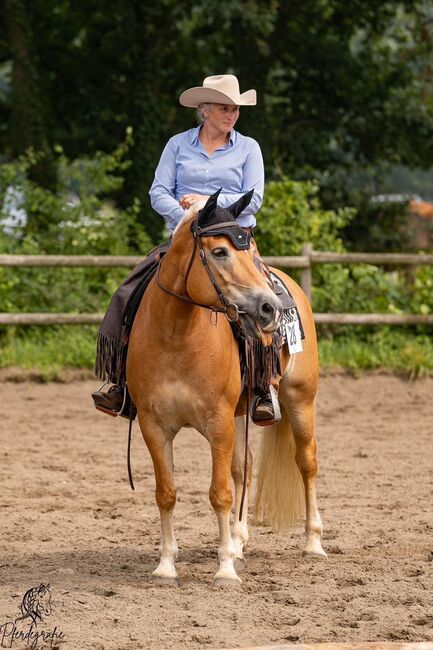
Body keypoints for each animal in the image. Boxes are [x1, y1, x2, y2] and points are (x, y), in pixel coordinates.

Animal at [126, 187, 326, 584]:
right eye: (219, 251)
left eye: (247, 250)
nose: (270, 308)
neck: (176, 337)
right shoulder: (154, 426)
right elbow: (166, 492)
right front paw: (166, 564)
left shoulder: (218, 424)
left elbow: (219, 494)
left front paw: (225, 570)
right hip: (240, 415)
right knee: (243, 468)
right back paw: (239, 541)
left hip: (300, 400)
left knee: (306, 462)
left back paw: (312, 543)